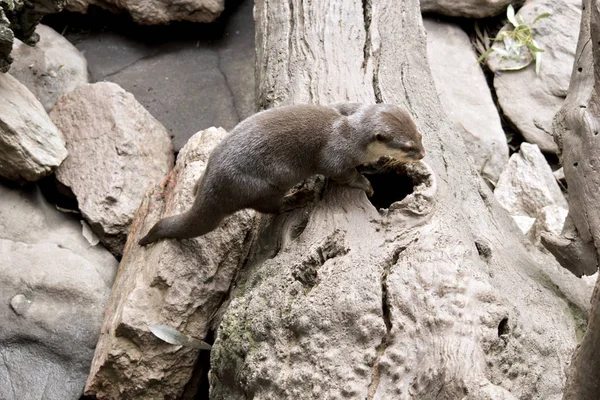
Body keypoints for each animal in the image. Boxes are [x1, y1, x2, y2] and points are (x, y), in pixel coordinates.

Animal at [138, 103, 424, 245]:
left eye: (419, 135)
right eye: (408, 147)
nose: (422, 154)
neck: (351, 134)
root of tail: (213, 187)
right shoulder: (337, 155)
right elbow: (341, 173)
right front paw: (365, 182)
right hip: (265, 184)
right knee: (269, 207)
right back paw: (297, 199)